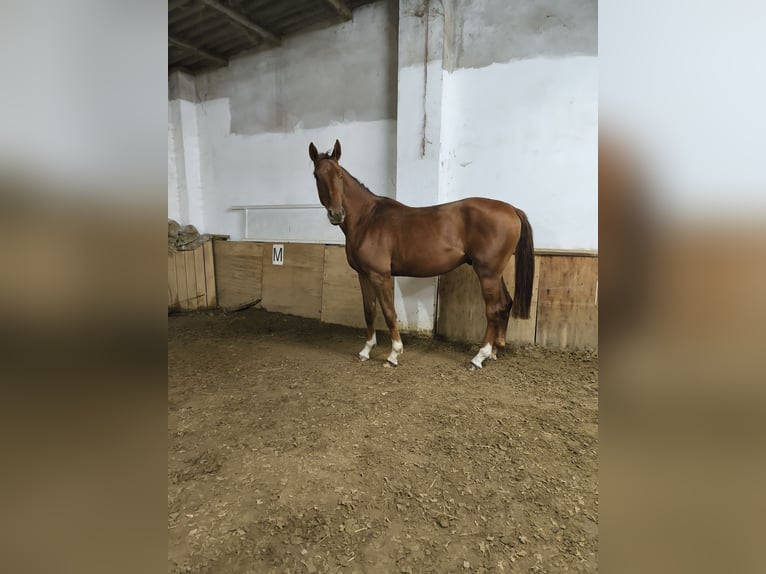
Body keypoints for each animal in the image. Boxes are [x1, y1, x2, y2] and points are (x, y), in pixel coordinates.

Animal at [309, 139, 534, 369]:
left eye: (339, 175)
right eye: (316, 175)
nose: (337, 214)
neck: (367, 219)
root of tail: (511, 209)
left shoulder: (380, 275)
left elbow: (389, 312)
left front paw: (394, 354)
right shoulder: (363, 274)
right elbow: (369, 311)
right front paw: (366, 350)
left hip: (487, 273)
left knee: (493, 310)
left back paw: (480, 356)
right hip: (495, 273)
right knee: (505, 304)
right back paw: (494, 351)